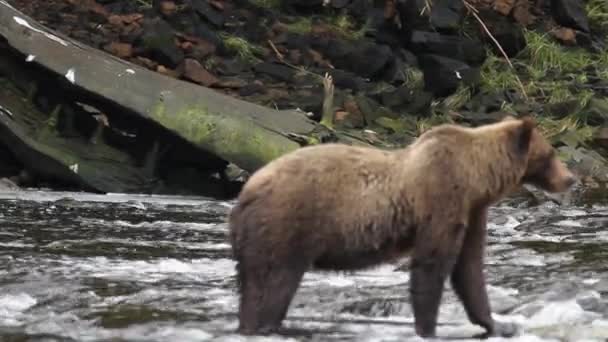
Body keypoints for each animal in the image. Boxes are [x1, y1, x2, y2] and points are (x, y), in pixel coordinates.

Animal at [227, 115, 576, 340]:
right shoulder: (442, 196)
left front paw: (495, 324)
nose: (571, 179)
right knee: (276, 281)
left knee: (252, 286)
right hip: (286, 224)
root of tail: (248, 190)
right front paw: (427, 328)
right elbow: (432, 264)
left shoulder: (473, 211)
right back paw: (268, 325)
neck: (477, 177)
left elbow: (469, 269)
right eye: (551, 153)